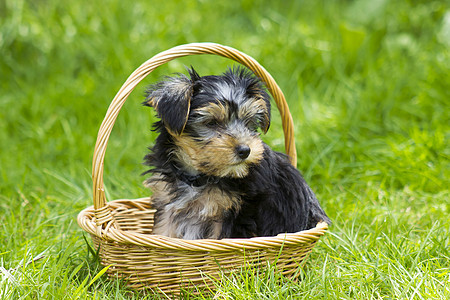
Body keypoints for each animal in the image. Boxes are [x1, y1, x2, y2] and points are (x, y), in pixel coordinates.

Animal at [144, 66, 330, 239]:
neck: (198, 178)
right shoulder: (167, 204)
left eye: (248, 121)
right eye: (211, 123)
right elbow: (163, 231)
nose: (245, 150)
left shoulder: (231, 215)